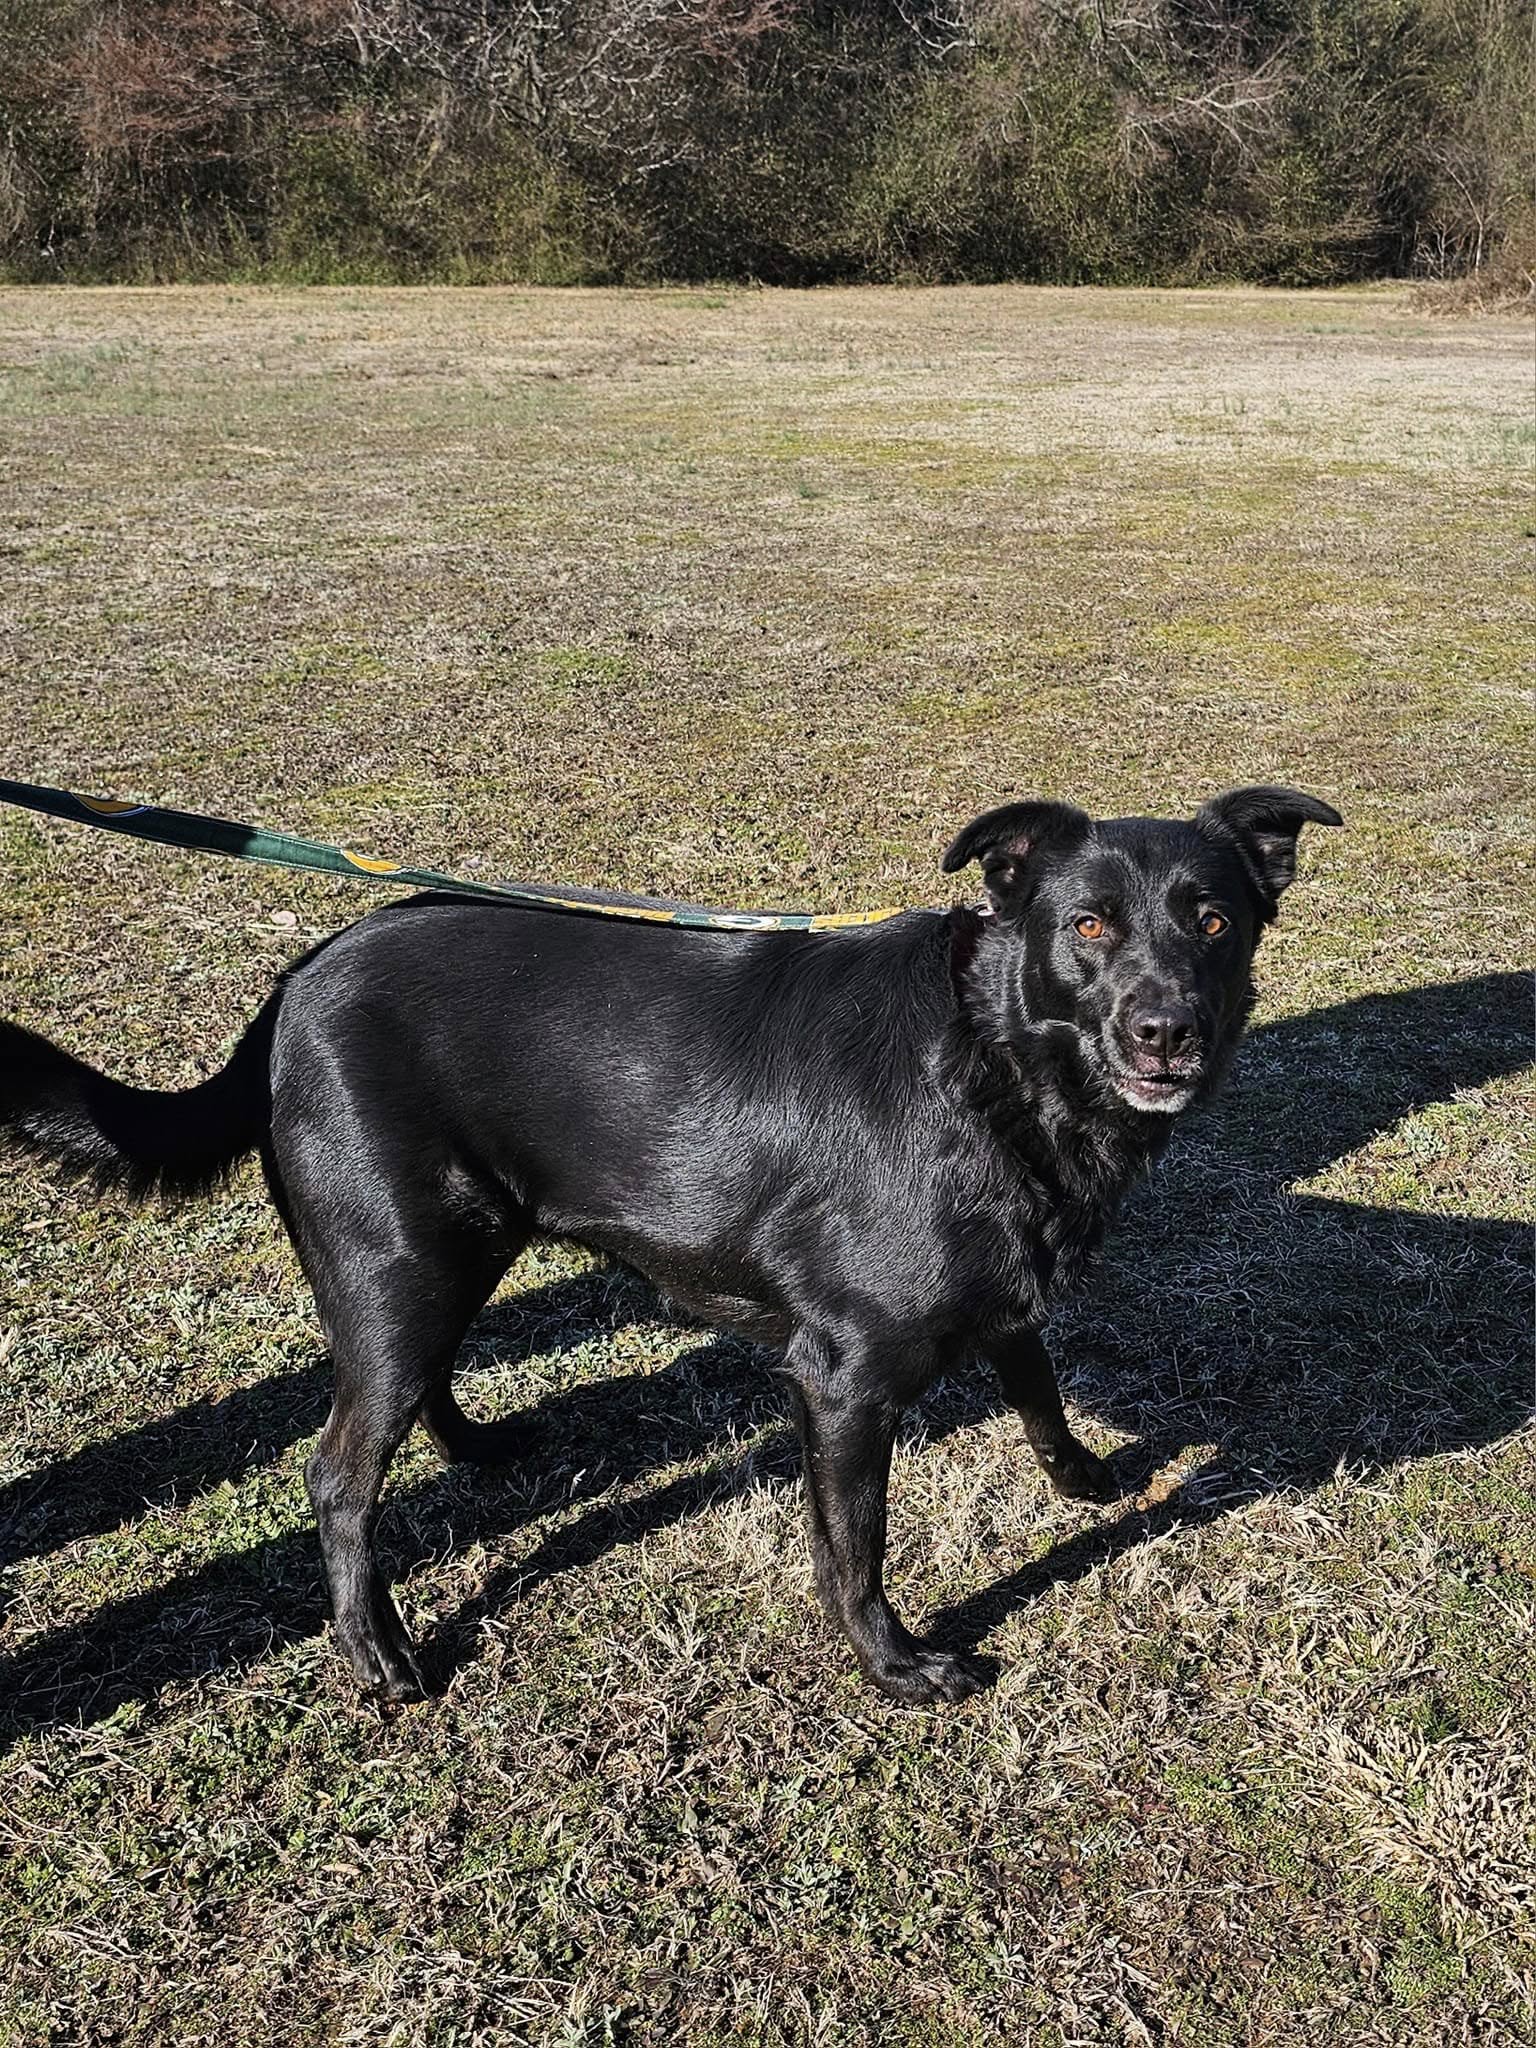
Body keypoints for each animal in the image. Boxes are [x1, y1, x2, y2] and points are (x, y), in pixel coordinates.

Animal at [3, 790, 1335, 1703]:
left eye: (1215, 920)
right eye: (1090, 925)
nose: (1169, 1030)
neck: (995, 1059)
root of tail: (294, 979)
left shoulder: (1000, 1291)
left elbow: (1041, 1387)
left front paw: (1086, 1480)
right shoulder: (843, 1379)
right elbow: (855, 1546)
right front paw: (895, 1664)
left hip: (452, 1249)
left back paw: (480, 1448)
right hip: (400, 1262)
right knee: (338, 1472)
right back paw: (376, 1649)